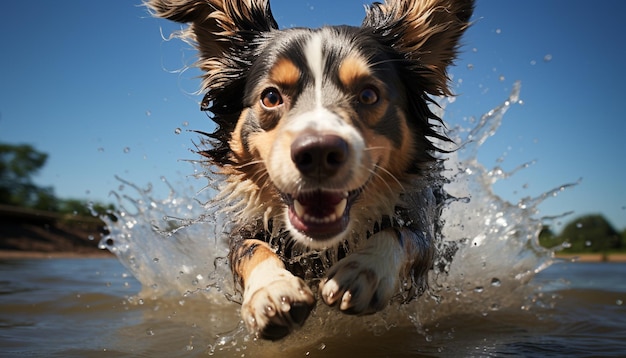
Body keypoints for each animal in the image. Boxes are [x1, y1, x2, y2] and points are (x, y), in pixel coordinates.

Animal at [146, 0, 472, 340]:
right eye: (271, 96)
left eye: (369, 94)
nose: (317, 153)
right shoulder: (247, 227)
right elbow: (250, 248)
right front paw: (271, 291)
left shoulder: (420, 218)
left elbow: (403, 234)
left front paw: (365, 269)